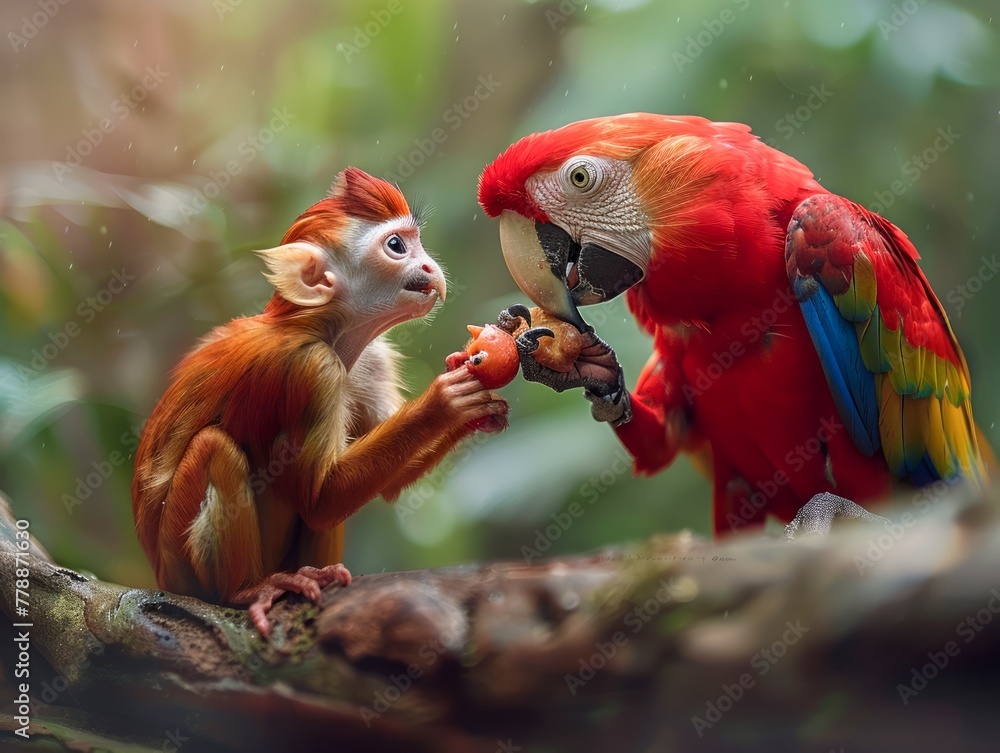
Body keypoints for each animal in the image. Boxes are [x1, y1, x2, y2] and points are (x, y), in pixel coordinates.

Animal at [131, 168, 507, 637]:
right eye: (397, 246)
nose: (430, 268)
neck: (321, 328)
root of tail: (159, 573)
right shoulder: (313, 369)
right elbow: (320, 499)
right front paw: (446, 400)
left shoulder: (372, 360)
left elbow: (375, 489)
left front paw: (473, 401)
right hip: (180, 566)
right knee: (216, 448)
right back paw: (246, 590)